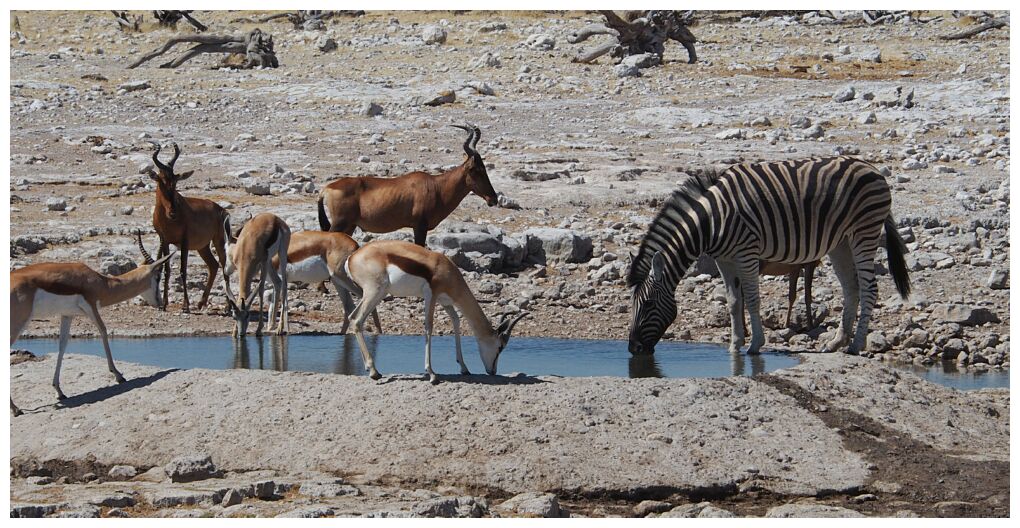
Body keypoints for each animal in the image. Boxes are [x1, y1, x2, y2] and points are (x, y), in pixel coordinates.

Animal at [10, 234, 173, 415]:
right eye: (158, 277)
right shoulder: (91, 306)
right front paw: (118, 376)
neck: (101, 282)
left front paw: (59, 391)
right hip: (18, 323)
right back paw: (16, 409)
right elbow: (104, 331)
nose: (160, 303)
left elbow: (62, 345)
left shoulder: (67, 314)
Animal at [147, 142, 229, 311]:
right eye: (161, 180)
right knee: (213, 265)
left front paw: (185, 305)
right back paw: (201, 303)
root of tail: (221, 209)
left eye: (175, 181)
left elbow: (183, 270)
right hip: (202, 247)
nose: (173, 212)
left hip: (218, 241)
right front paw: (164, 304)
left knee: (224, 266)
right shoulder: (164, 240)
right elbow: (167, 270)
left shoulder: (184, 241)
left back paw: (228, 307)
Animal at [314, 125, 497, 247]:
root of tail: (326, 189)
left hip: (350, 226)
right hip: (339, 223)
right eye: (477, 169)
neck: (436, 186)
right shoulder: (420, 226)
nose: (493, 199)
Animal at [346, 240, 530, 385]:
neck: (447, 270)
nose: (493, 371)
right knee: (357, 320)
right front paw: (432, 374)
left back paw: (370, 368)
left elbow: (456, 321)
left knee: (352, 317)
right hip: (375, 291)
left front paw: (464, 368)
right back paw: (374, 372)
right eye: (500, 347)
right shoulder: (431, 295)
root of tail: (352, 257)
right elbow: (429, 326)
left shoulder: (446, 302)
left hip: (375, 294)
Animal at [624, 154, 913, 358]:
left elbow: (752, 299)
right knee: (851, 287)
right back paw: (836, 343)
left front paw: (754, 344)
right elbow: (733, 302)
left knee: (869, 288)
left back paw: (856, 345)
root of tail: (872, 168)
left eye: (648, 304)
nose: (633, 349)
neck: (710, 223)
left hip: (864, 232)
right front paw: (734, 345)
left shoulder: (746, 253)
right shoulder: (724, 259)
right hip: (840, 242)